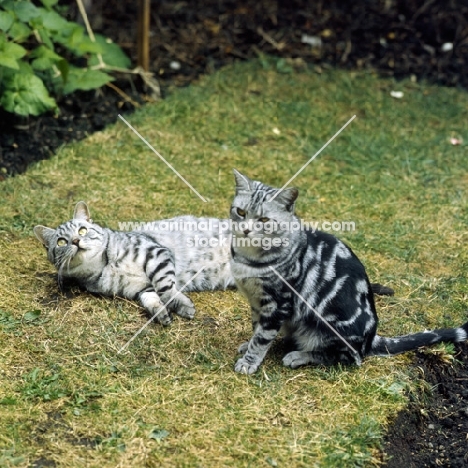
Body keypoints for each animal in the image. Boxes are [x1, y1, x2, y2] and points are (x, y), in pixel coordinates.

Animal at [34, 201, 234, 326]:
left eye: (82, 230)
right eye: (61, 242)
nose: (75, 241)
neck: (104, 267)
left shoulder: (155, 253)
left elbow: (165, 288)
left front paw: (182, 304)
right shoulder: (141, 288)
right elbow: (151, 299)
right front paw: (161, 313)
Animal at [229, 170, 468, 374]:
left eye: (264, 220)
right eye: (240, 212)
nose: (246, 230)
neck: (248, 256)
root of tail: (371, 338)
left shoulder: (278, 303)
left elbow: (262, 337)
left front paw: (250, 361)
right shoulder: (257, 301)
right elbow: (257, 328)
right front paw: (248, 345)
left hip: (327, 327)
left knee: (345, 357)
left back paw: (299, 355)